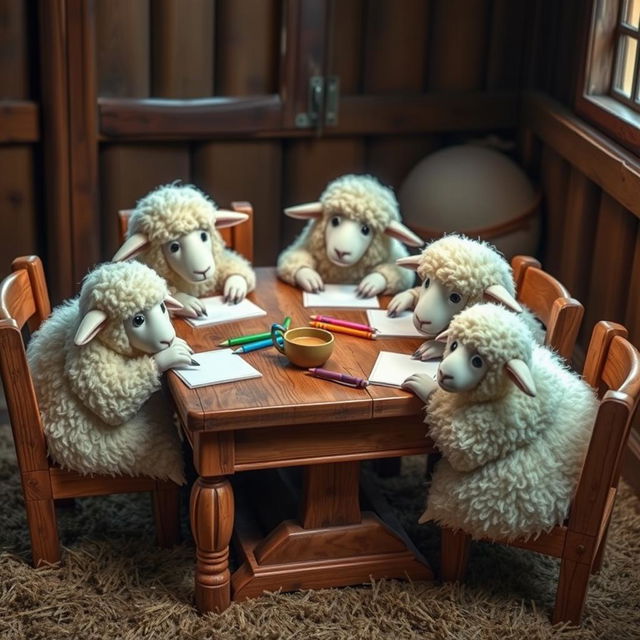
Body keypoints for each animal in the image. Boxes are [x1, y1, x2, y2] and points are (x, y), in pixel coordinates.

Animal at [26, 260, 195, 484]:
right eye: (138, 320)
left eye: (162, 307)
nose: (168, 339)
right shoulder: (87, 358)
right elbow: (112, 400)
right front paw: (171, 354)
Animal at [114, 182, 256, 318]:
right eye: (174, 247)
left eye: (204, 236)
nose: (203, 271)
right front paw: (187, 302)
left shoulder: (219, 265)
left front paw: (235, 287)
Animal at [276, 174, 422, 296]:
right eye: (335, 221)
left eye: (365, 229)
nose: (341, 252)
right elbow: (291, 257)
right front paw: (310, 277)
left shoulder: (396, 258)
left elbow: (402, 272)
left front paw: (372, 283)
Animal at [402, 302, 596, 544]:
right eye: (454, 345)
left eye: (477, 362)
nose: (444, 373)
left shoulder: (487, 428)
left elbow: (459, 449)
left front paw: (424, 385)